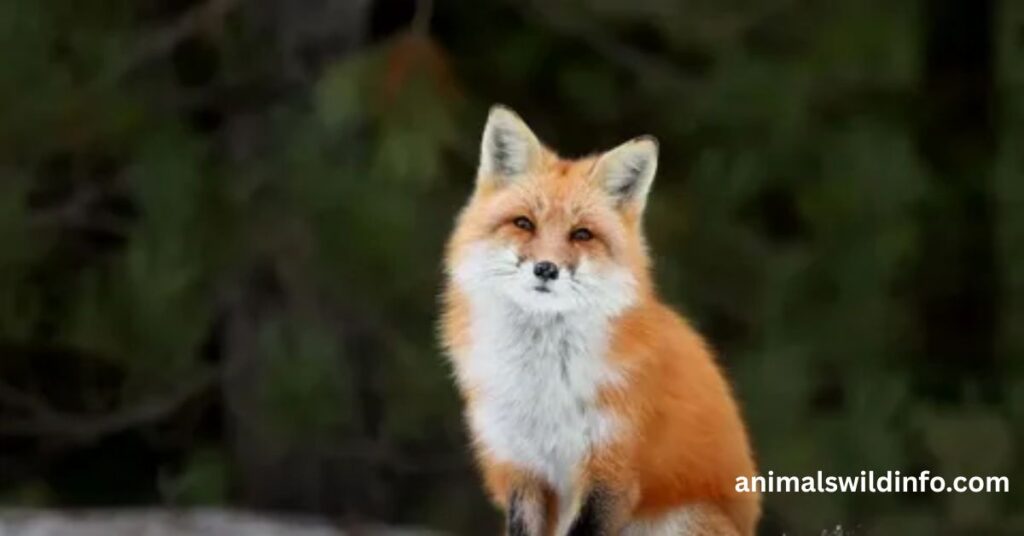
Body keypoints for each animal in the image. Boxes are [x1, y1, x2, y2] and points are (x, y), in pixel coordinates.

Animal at [441, 105, 761, 535]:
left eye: (582, 234)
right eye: (524, 223)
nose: (546, 269)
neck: (543, 385)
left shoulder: (611, 471)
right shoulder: (521, 468)